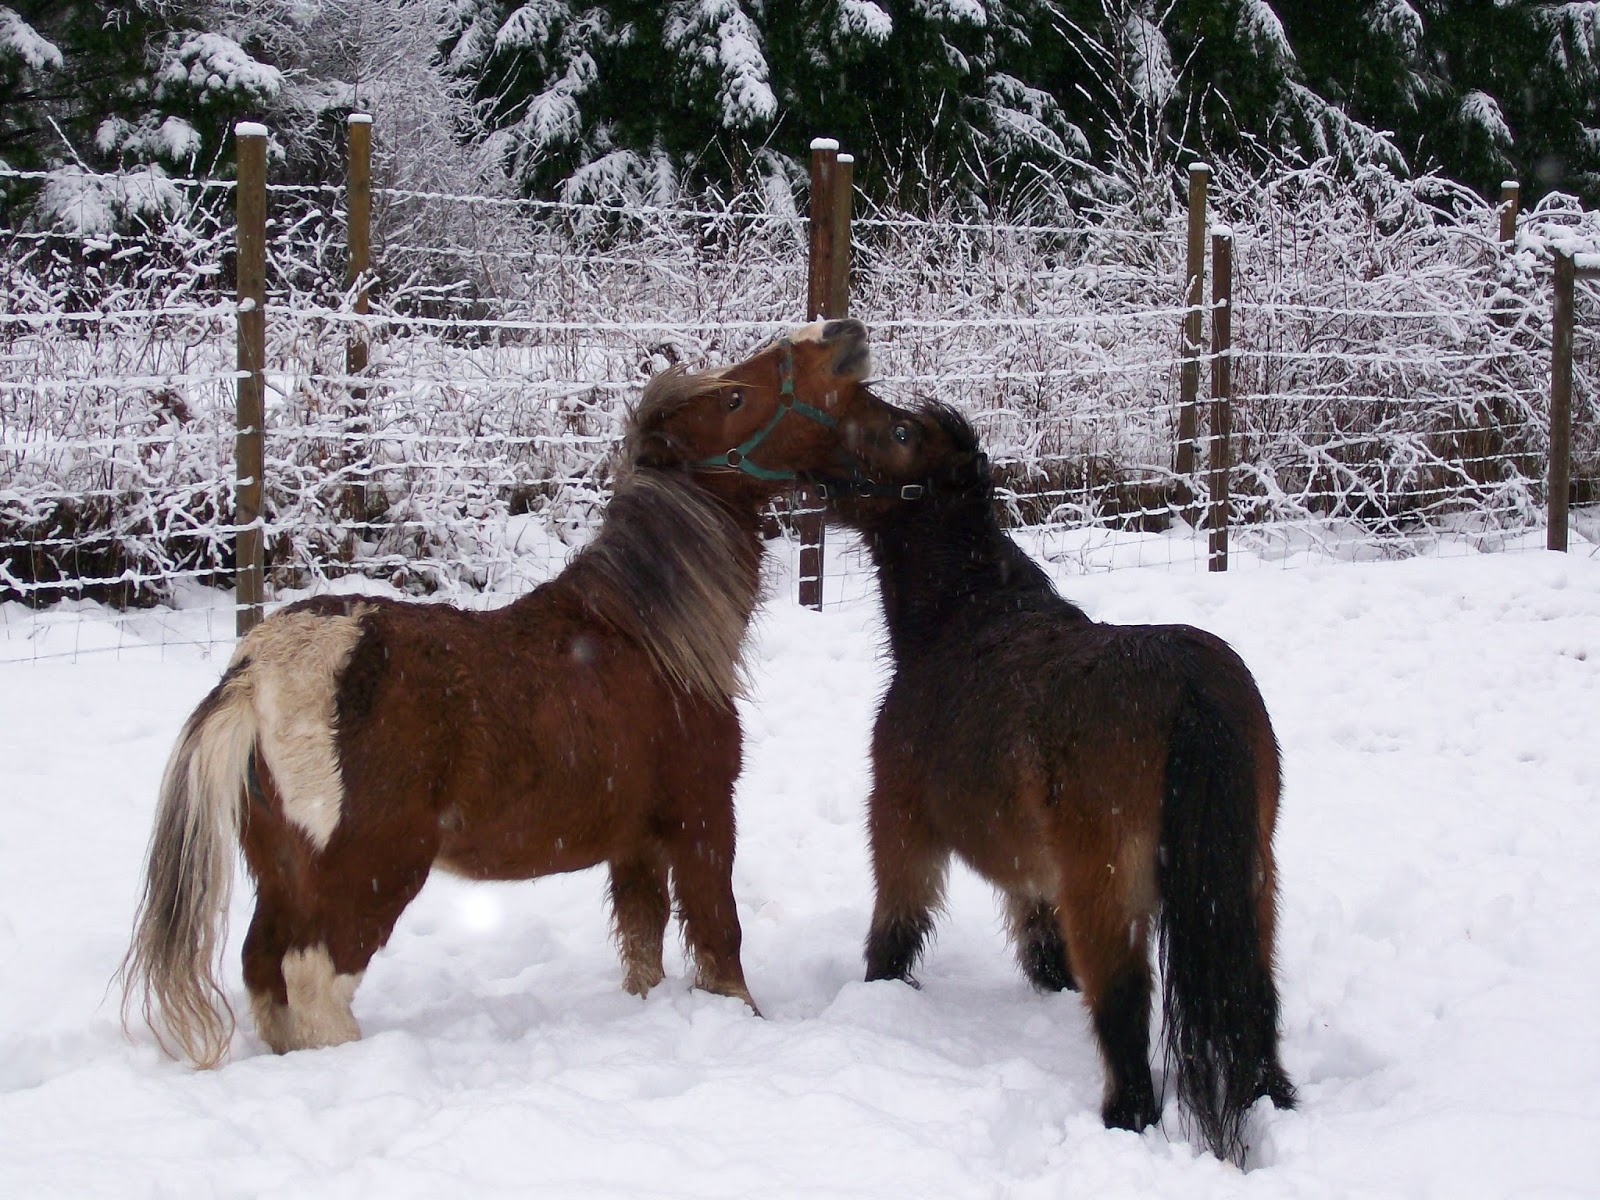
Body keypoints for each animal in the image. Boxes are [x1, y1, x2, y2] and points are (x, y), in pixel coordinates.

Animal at [121, 318, 883, 1068]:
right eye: (733, 399)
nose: (842, 332)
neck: (644, 635)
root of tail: (259, 672)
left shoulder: (635, 844)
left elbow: (644, 948)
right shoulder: (702, 817)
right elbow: (721, 940)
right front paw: (748, 1022)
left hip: (281, 876)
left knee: (263, 971)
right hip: (369, 875)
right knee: (313, 979)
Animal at [812, 396, 1294, 1166]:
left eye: (901, 432)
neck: (963, 621)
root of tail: (1188, 688)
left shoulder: (900, 826)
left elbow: (895, 928)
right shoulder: (1034, 873)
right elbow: (1043, 952)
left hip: (1106, 891)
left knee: (1124, 1005)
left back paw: (1126, 1118)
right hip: (1251, 878)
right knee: (1255, 991)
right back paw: (1272, 1102)